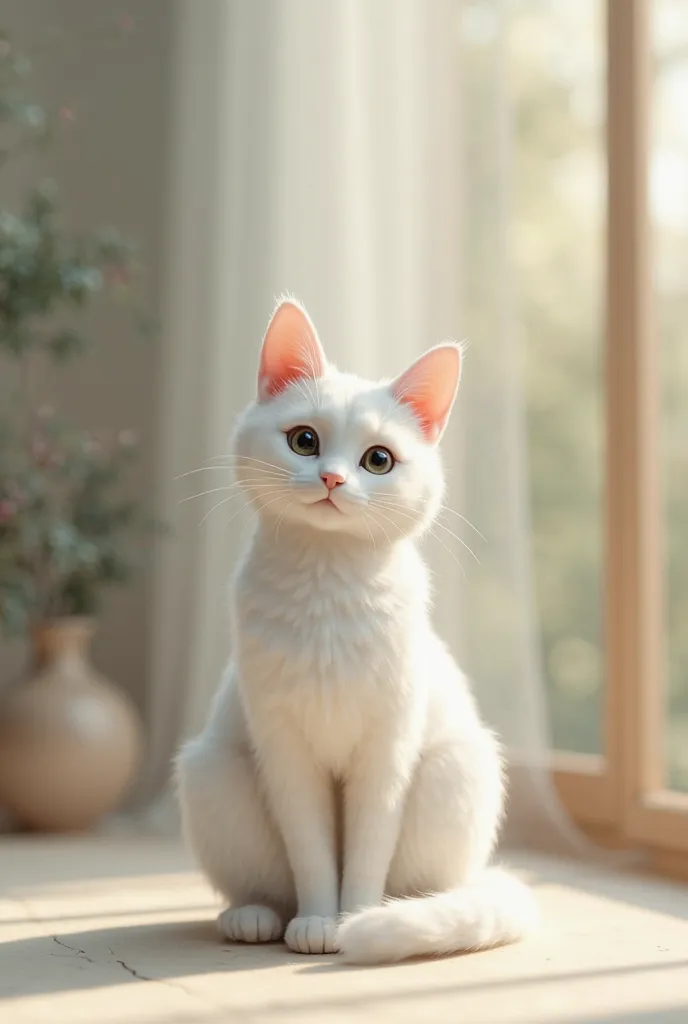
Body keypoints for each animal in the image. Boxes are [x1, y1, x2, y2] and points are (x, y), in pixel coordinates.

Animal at [173, 299, 536, 962]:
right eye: (305, 441)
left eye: (378, 459)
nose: (333, 480)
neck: (327, 589)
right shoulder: (286, 750)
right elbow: (313, 853)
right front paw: (318, 921)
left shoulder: (387, 747)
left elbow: (366, 851)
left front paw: (354, 921)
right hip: (213, 771)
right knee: (263, 885)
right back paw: (254, 916)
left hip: (456, 768)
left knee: (424, 887)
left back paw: (402, 912)